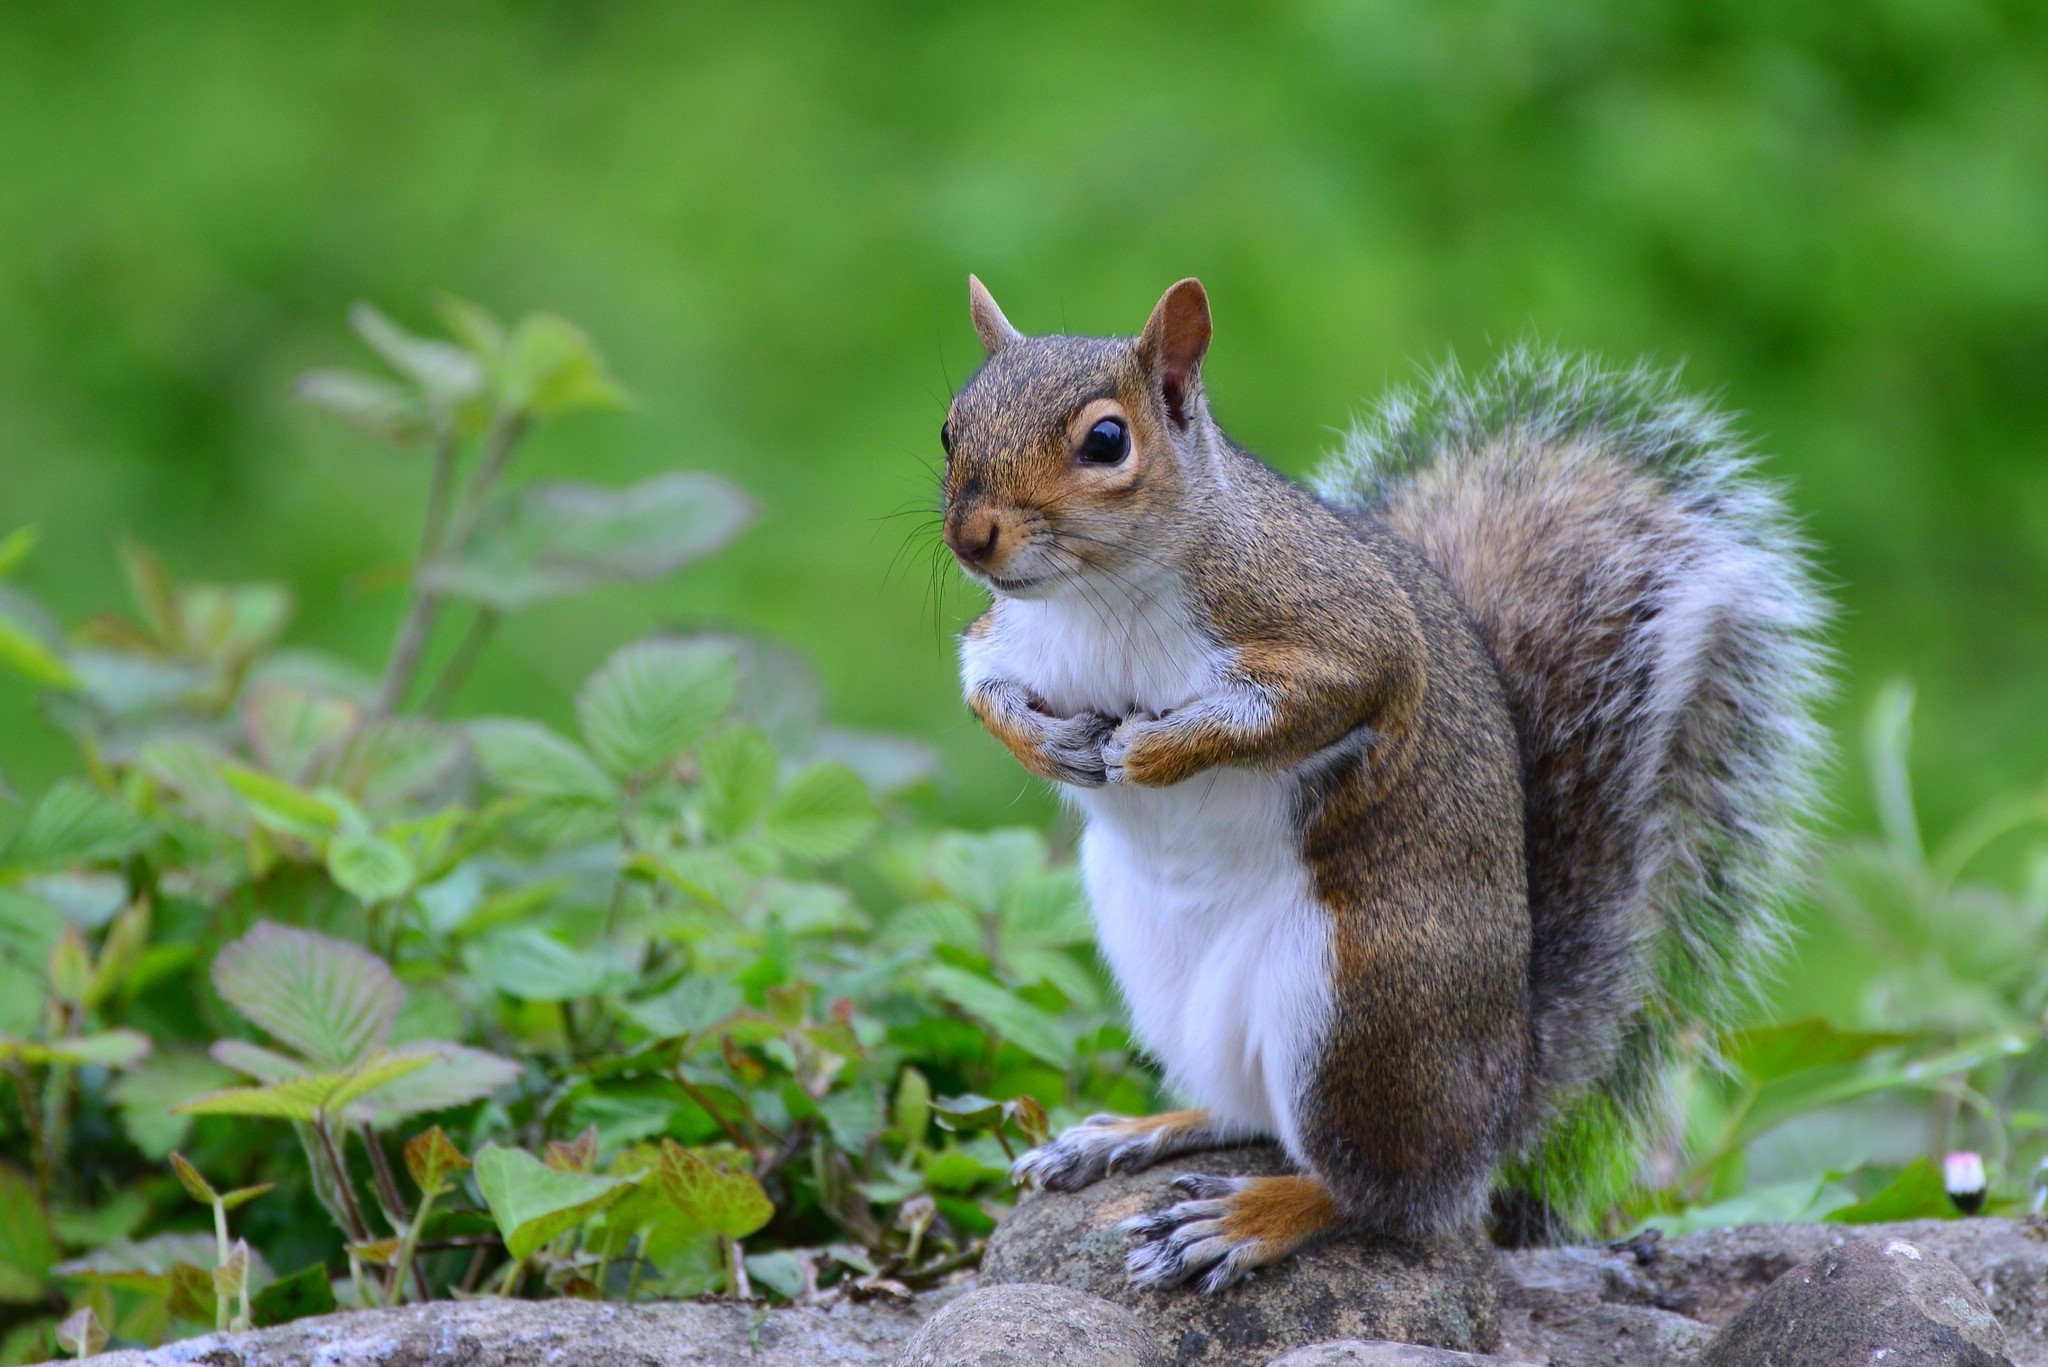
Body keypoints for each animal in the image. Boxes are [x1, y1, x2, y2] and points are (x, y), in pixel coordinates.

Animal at [937, 276, 1828, 1293]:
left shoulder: (1343, 632)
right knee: (1249, 1112)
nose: (970, 537)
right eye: (950, 425)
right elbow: (982, 686)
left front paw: (1155, 753)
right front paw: (1049, 744)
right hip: (1162, 969)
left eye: (1107, 441)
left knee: (1383, 1192)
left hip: (1357, 1001)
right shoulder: (1006, 638)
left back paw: (1251, 1216)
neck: (1097, 594)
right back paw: (1136, 1131)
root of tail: (1498, 1105)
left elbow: (1310, 702)